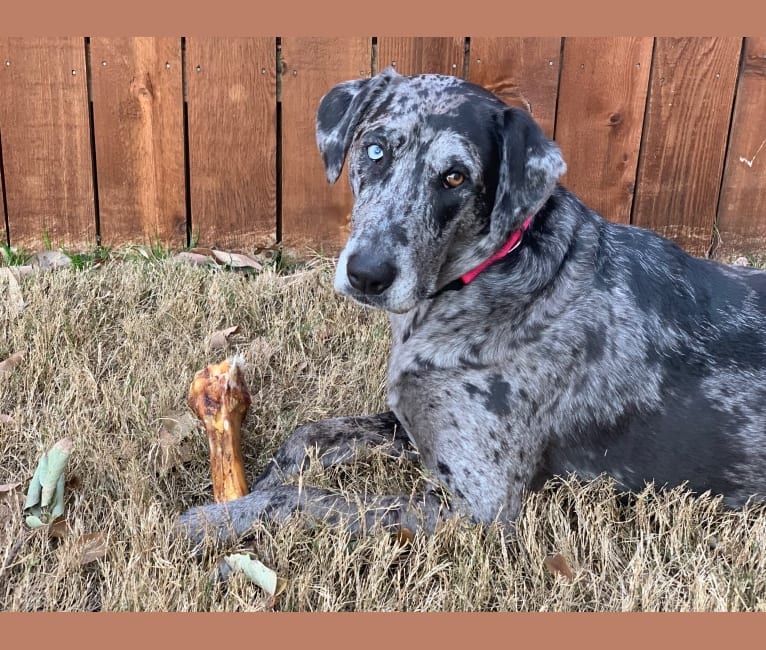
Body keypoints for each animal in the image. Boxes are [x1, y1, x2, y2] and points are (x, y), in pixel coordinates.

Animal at [177, 67, 766, 540]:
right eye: (375, 149)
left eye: (455, 176)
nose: (367, 274)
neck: (486, 279)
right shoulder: (410, 420)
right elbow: (310, 434)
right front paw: (264, 473)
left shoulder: (479, 505)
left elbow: (306, 500)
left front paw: (218, 517)